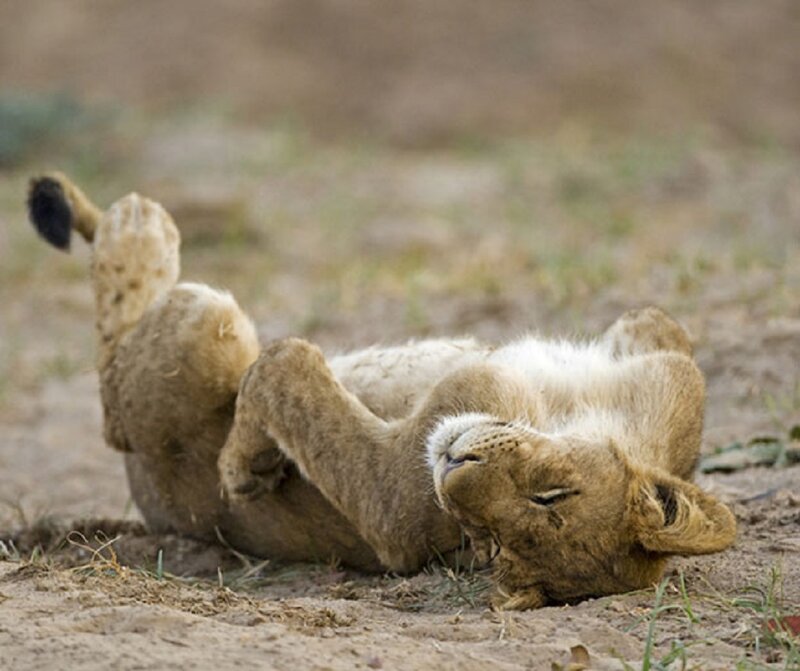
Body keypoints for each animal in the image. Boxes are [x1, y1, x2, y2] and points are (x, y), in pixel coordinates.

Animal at [28, 173, 736, 609]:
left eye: (491, 544)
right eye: (551, 493)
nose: (453, 467)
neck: (571, 409)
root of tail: (151, 506)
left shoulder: (392, 508)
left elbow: (287, 369)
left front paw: (243, 464)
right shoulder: (669, 378)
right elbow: (658, 324)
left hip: (199, 334)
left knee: (119, 379)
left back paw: (133, 227)